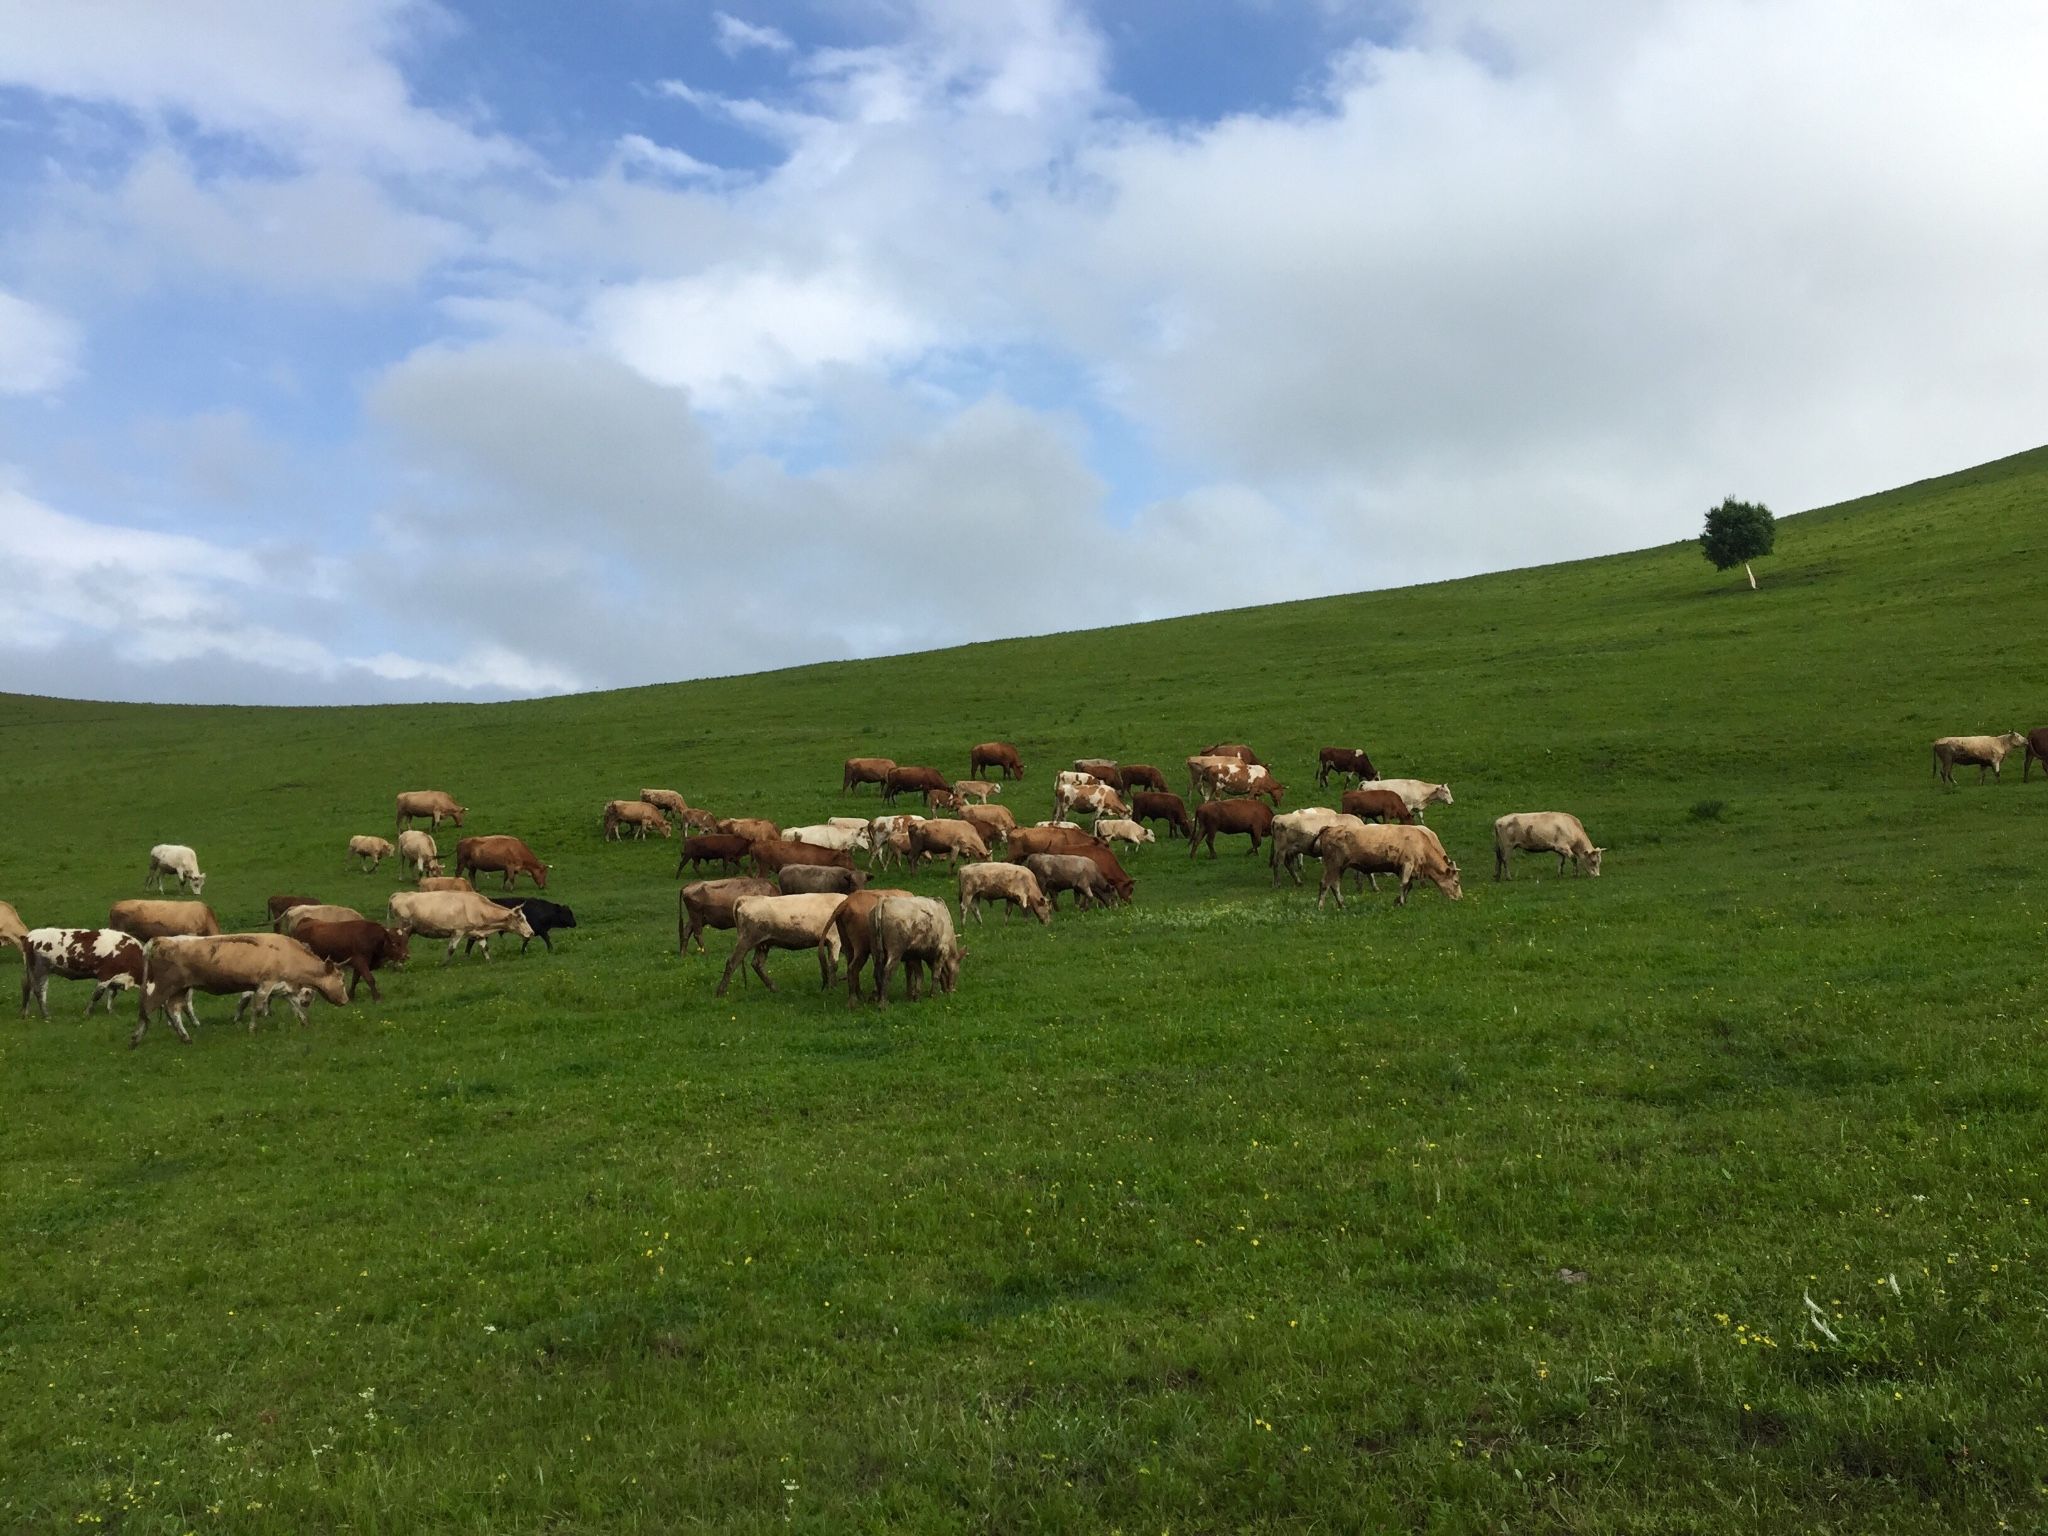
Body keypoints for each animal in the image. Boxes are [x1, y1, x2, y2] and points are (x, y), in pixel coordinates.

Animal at [385, 888, 536, 962]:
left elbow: (485, 948)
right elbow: (451, 950)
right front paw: (444, 964)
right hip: (404, 927)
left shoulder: (478, 933)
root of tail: (399, 895)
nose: (532, 933)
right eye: (521, 919)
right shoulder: (458, 931)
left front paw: (489, 962)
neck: (477, 908)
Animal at [1318, 823, 1466, 909]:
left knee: (1335, 884)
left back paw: (1341, 905)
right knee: (1325, 883)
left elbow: (1408, 885)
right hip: (1333, 864)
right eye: (1456, 882)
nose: (1460, 899)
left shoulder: (1406, 868)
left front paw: (1399, 901)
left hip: (1339, 867)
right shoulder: (1407, 864)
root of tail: (1330, 828)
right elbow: (1404, 884)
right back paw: (1320, 906)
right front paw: (1401, 902)